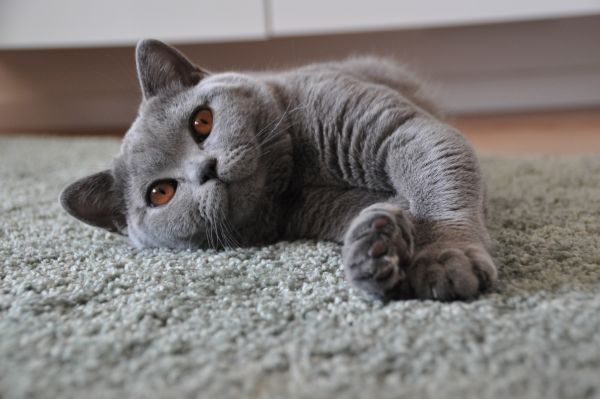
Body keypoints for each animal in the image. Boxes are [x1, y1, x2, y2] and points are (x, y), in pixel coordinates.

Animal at [59, 40, 496, 302]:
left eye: (202, 122)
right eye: (160, 193)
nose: (206, 169)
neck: (298, 173)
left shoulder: (405, 131)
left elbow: (437, 190)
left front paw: (445, 259)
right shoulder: (326, 208)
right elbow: (390, 207)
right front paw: (374, 250)